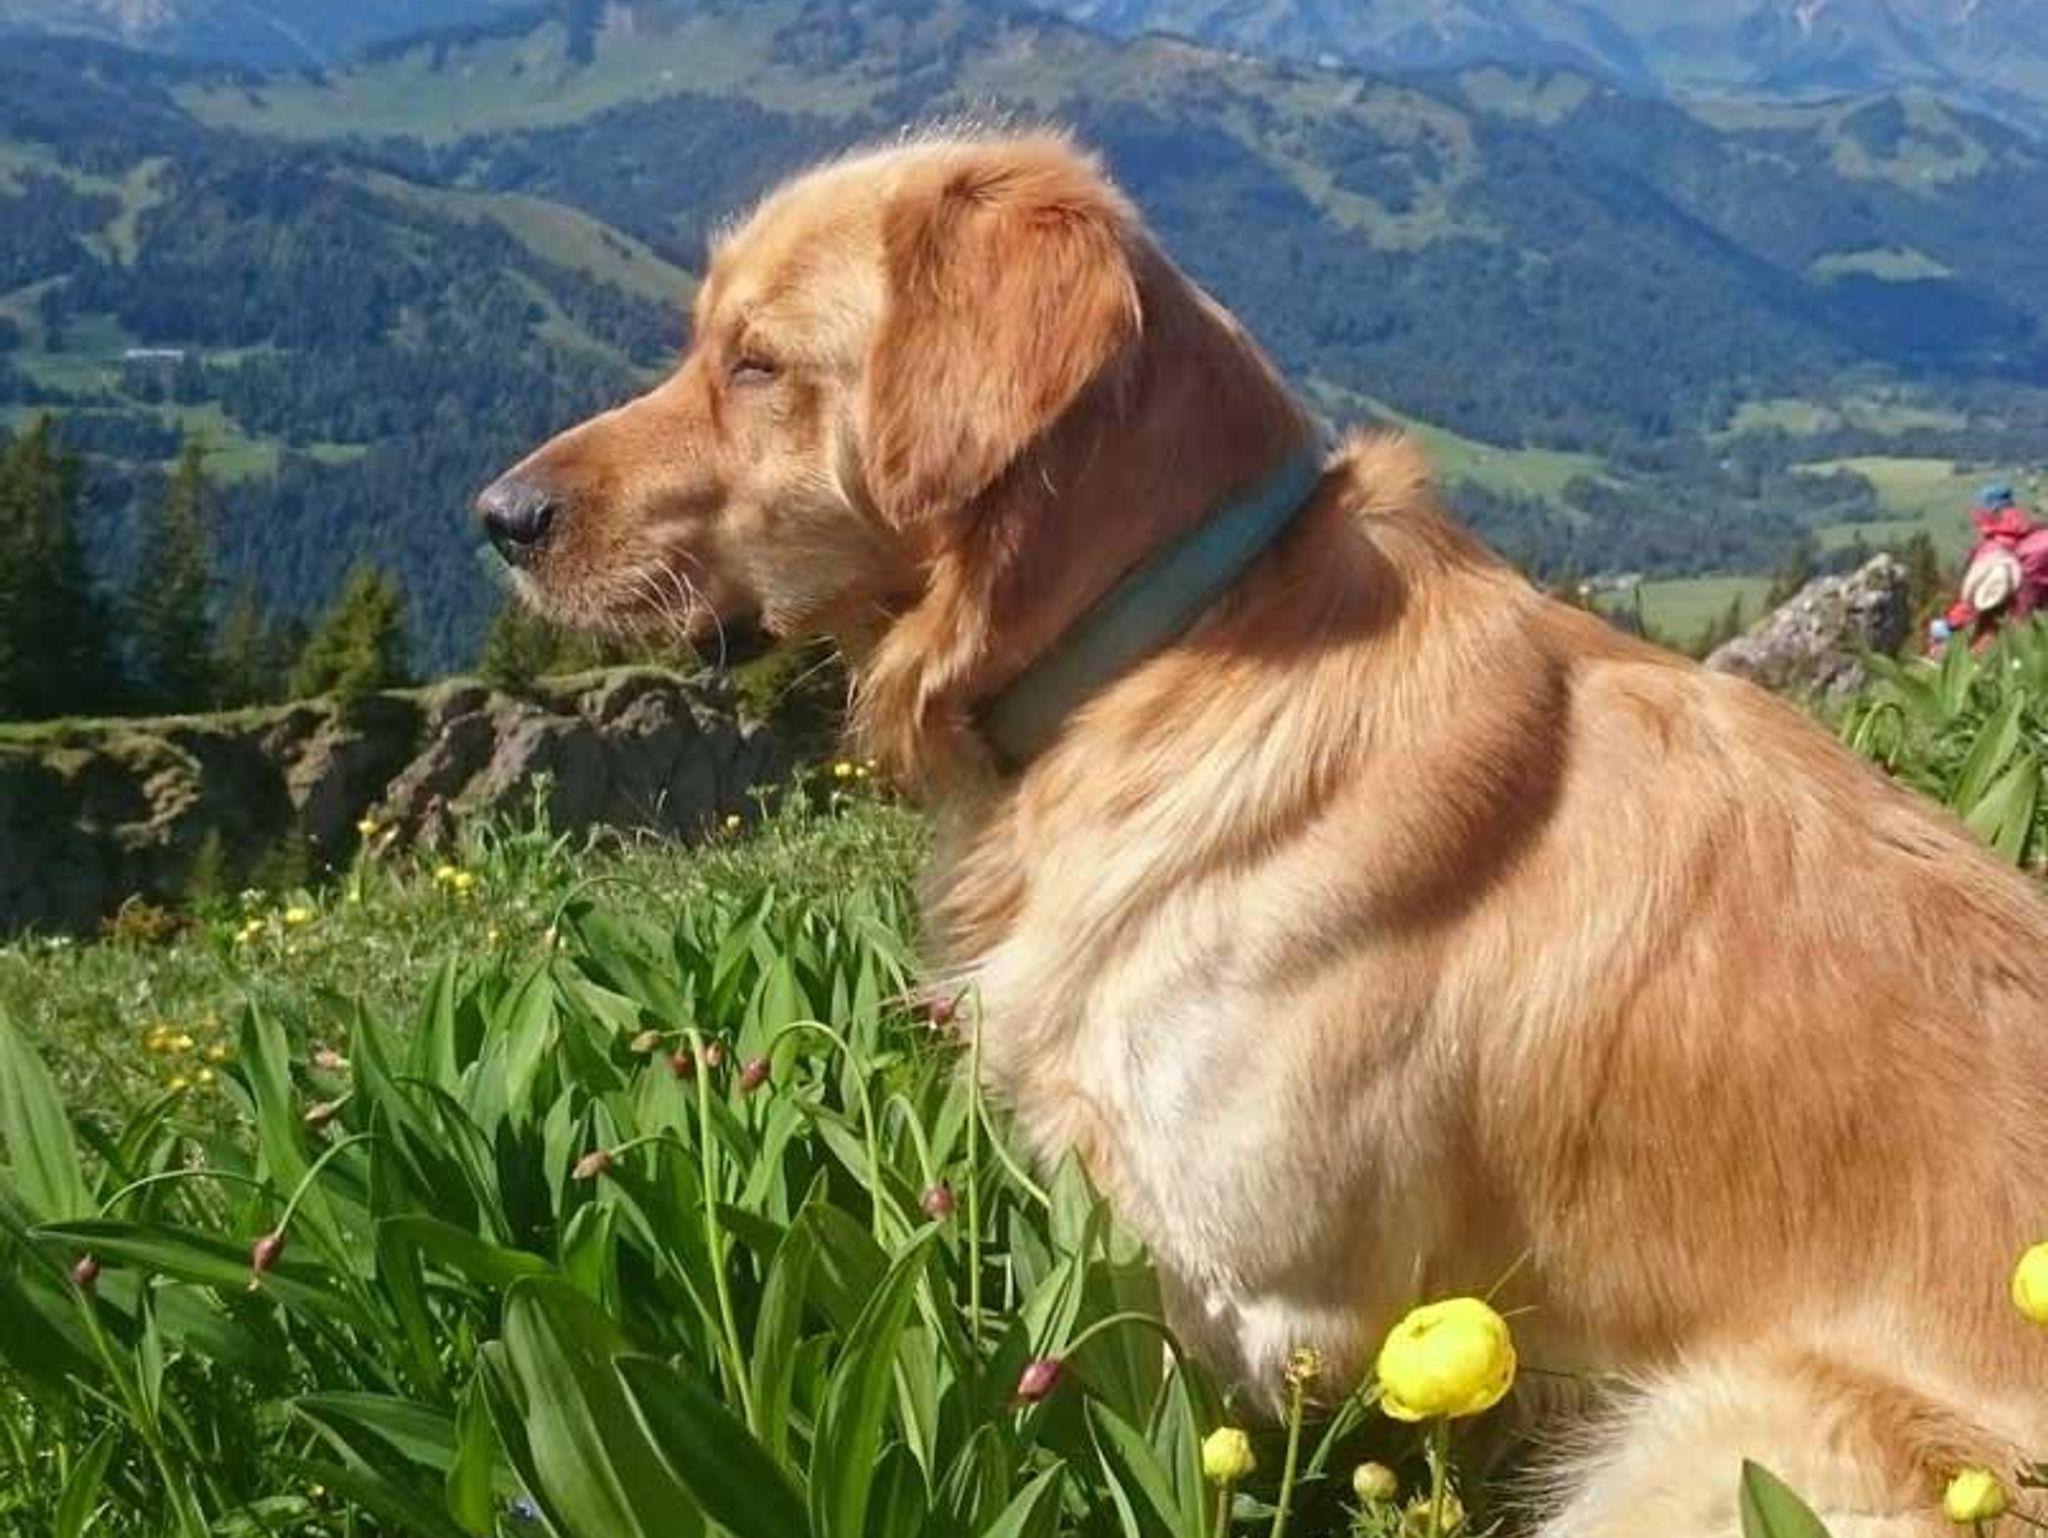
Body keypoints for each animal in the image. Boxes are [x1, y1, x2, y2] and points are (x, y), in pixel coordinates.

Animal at [478, 131, 2048, 1536]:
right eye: (699, 343)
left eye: (755, 362)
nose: (500, 514)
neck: (1169, 641)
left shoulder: (1252, 1289)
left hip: (1720, 1440)